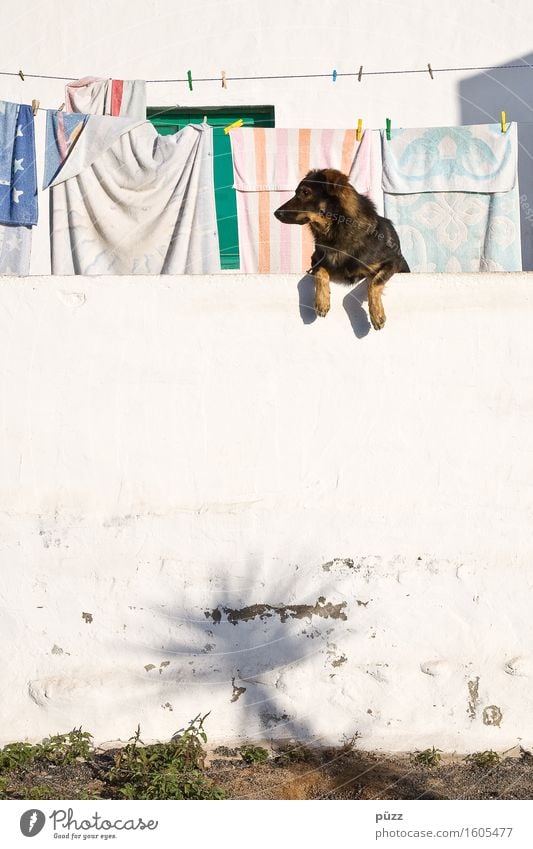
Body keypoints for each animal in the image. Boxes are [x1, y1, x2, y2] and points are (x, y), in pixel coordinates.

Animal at [274, 169, 408, 328]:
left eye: (305, 192)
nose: (276, 213)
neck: (335, 233)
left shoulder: (393, 261)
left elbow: (374, 283)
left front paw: (377, 314)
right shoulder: (316, 260)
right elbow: (320, 271)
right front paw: (322, 301)